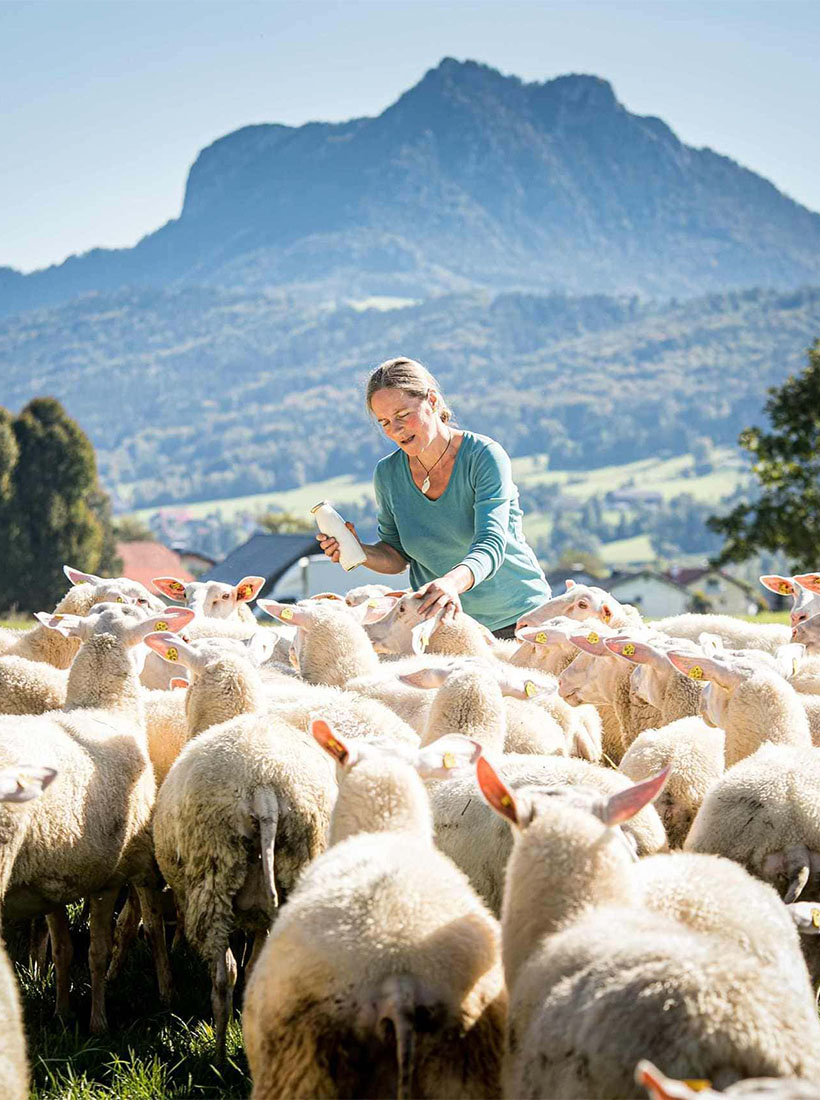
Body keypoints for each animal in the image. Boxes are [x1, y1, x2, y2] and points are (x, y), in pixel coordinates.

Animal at [0, 602, 192, 1029]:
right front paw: (99, 1022)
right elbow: (101, 951)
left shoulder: (52, 877)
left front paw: (61, 1013)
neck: (105, 708)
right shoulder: (111, 873)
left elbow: (64, 950)